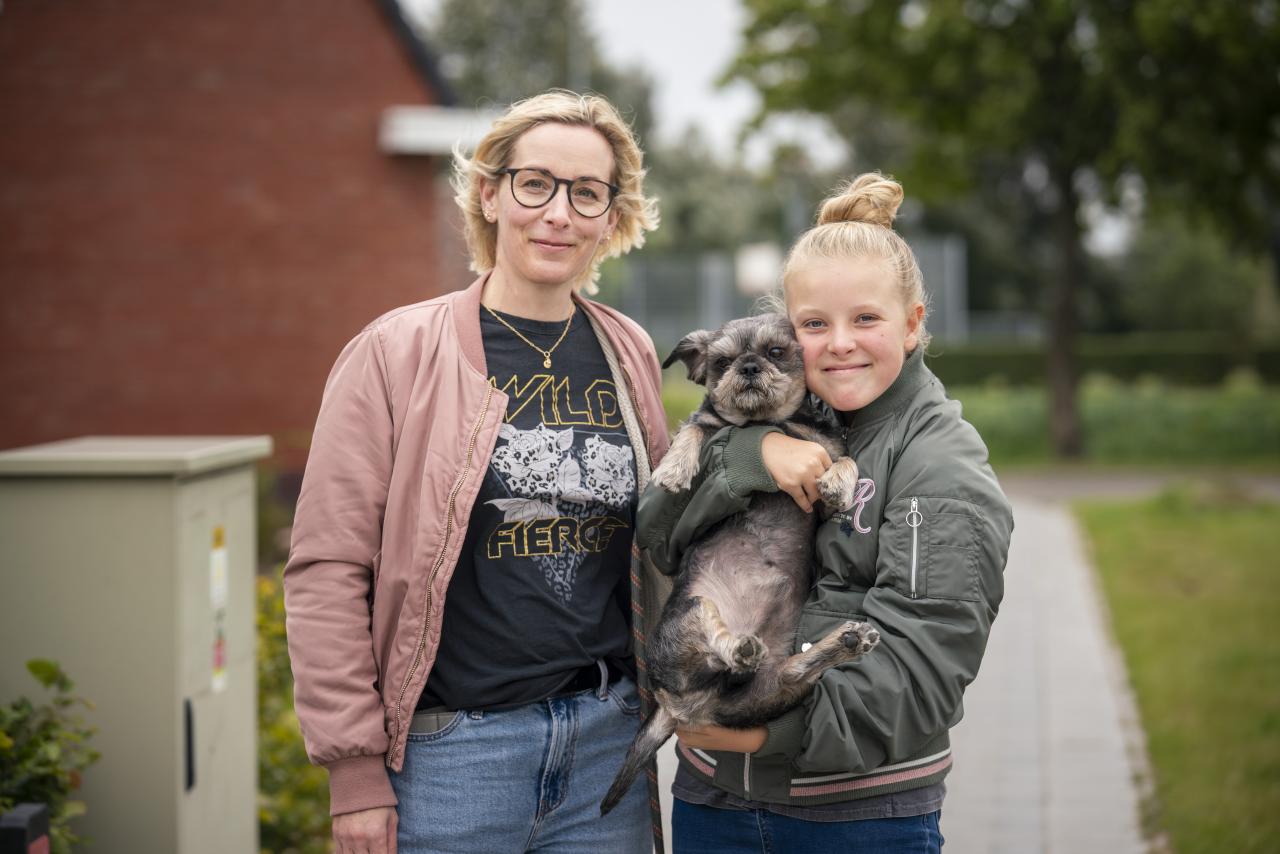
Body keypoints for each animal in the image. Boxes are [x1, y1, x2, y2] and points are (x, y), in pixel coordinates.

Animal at [599, 313, 880, 814]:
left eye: (775, 352)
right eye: (723, 361)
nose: (747, 367)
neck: (770, 423)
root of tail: (679, 708)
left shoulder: (823, 458)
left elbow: (843, 459)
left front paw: (838, 484)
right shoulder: (708, 424)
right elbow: (694, 430)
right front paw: (673, 469)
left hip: (776, 689)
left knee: (794, 669)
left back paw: (845, 643)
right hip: (692, 613)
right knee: (717, 636)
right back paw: (743, 647)